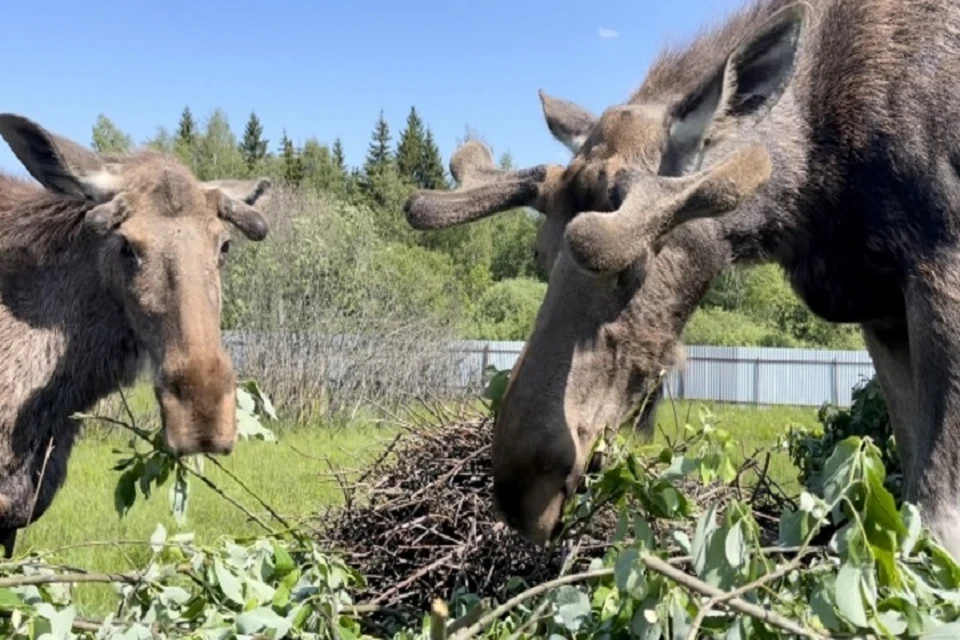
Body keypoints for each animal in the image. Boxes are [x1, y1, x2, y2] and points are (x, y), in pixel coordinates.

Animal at [406, 0, 960, 556]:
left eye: (630, 261)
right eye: (541, 252)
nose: (520, 488)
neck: (816, 191)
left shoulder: (939, 262)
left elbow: (936, 515)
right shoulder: (880, 315)